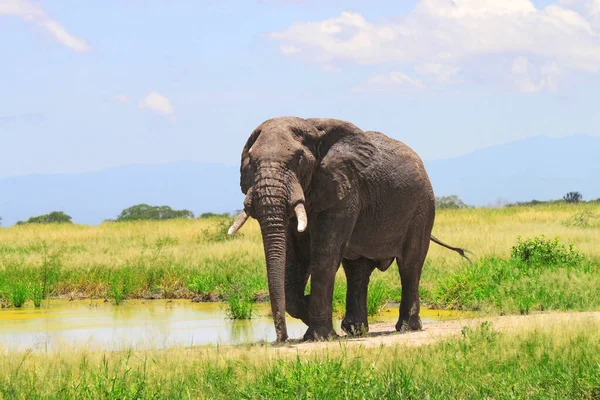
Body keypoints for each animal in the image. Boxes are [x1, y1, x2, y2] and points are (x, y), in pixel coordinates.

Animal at [227, 115, 472, 340]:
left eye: (298, 159)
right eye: (251, 161)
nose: (282, 338)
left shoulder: (345, 191)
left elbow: (324, 255)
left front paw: (319, 336)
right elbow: (294, 258)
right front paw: (311, 311)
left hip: (423, 206)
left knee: (410, 264)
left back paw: (406, 327)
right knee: (357, 269)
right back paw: (355, 330)